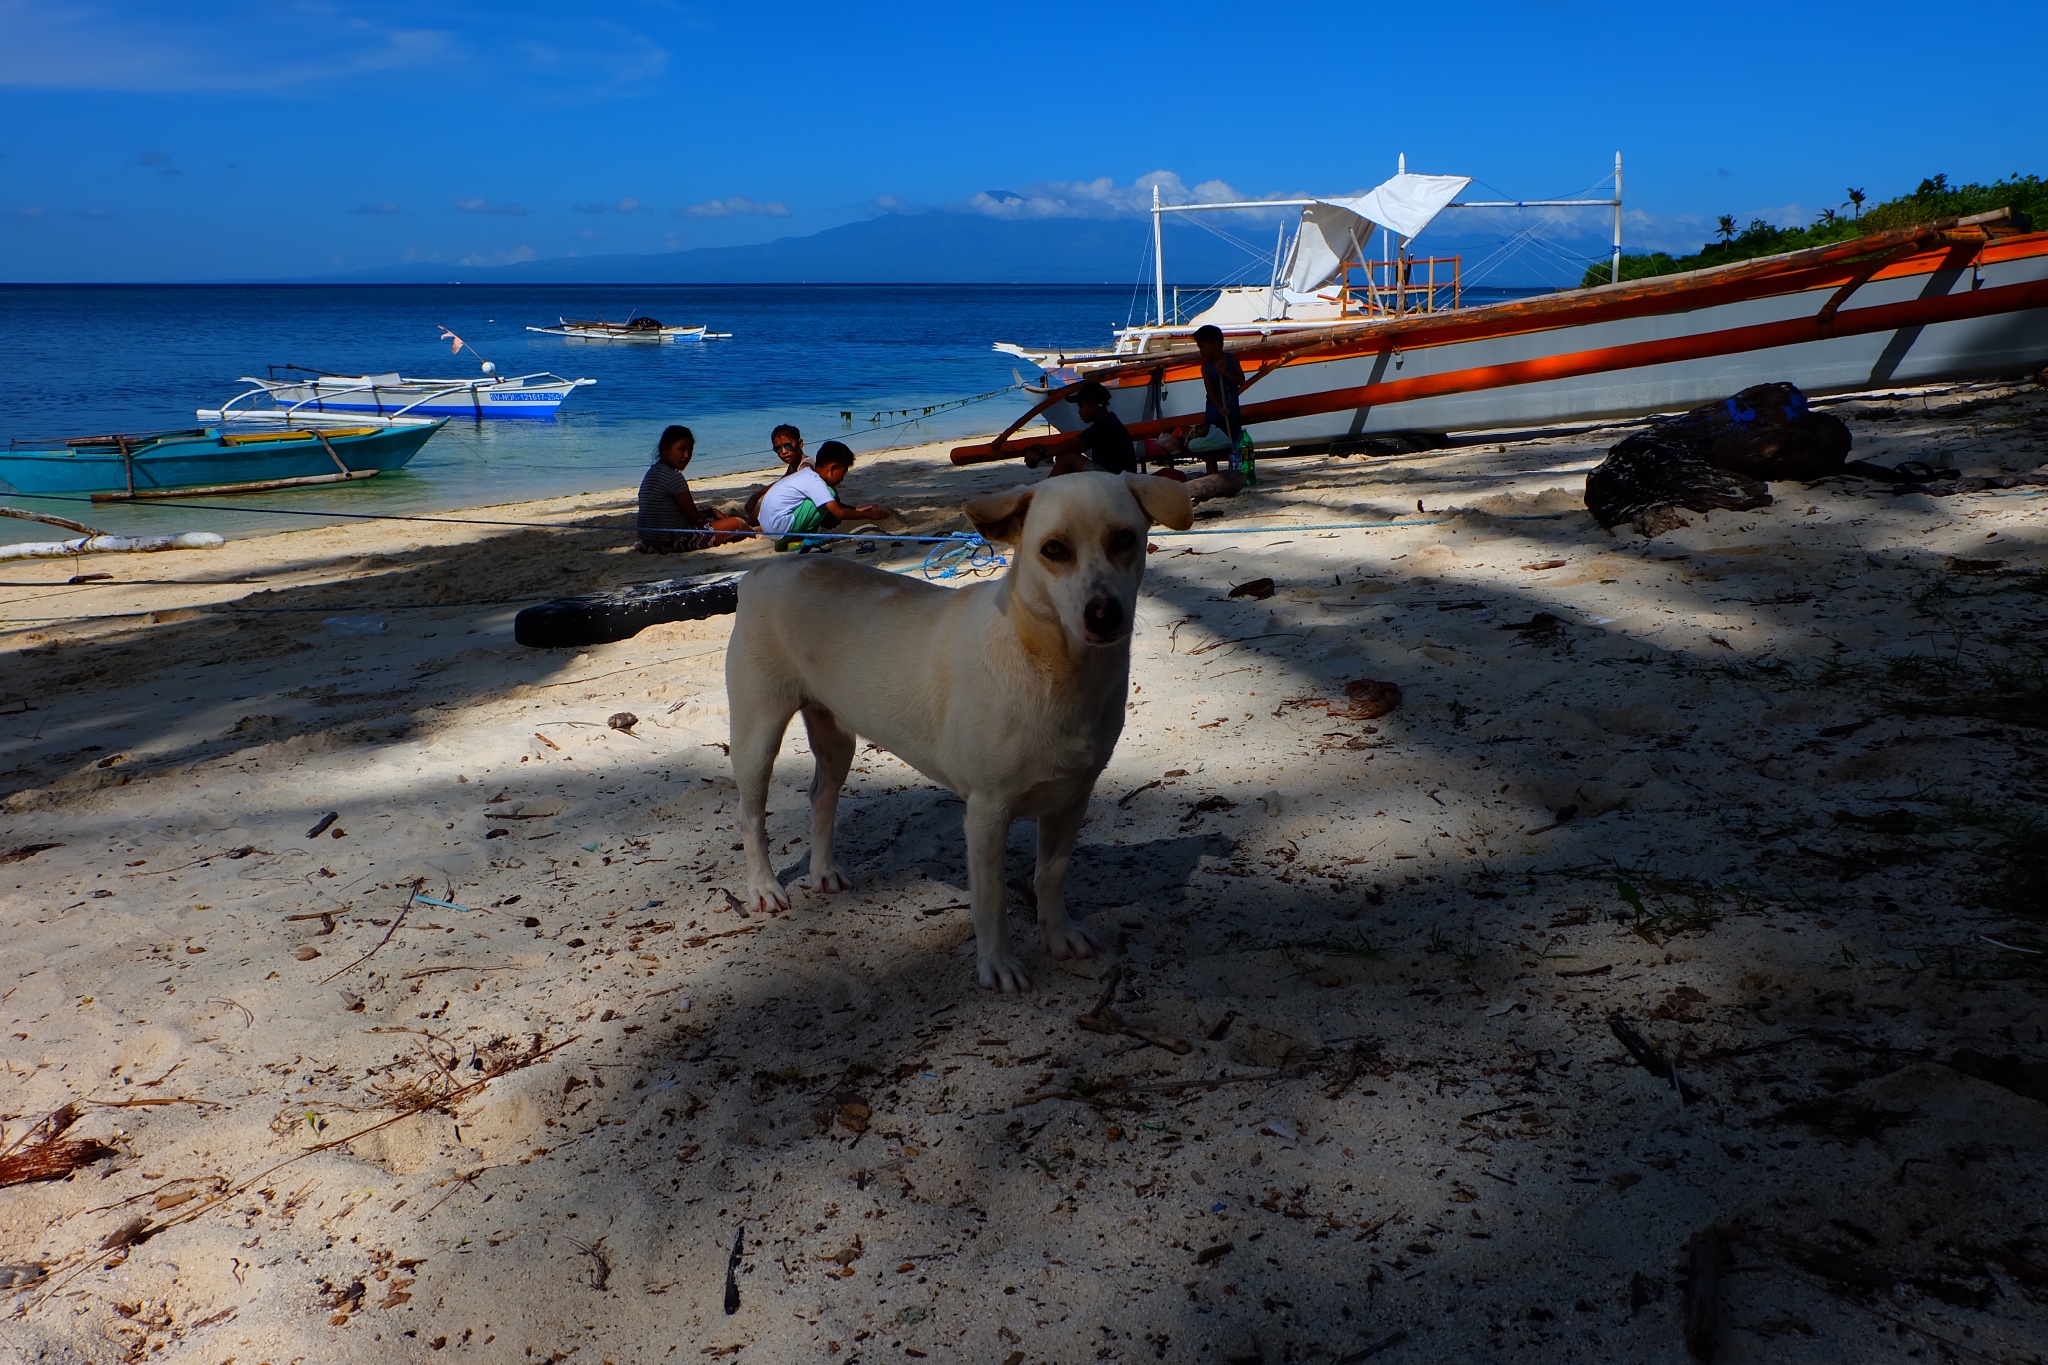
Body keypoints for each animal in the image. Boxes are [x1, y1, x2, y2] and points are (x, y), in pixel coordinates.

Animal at [729, 474, 1196, 986]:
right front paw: (999, 964)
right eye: (1054, 549)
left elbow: (1050, 875)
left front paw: (1058, 935)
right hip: (756, 736)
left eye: (1125, 540)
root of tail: (761, 572)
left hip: (836, 739)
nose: (1104, 614)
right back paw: (764, 887)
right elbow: (991, 897)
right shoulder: (987, 813)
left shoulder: (1071, 799)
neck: (1054, 669)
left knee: (822, 797)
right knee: (751, 818)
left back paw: (823, 872)